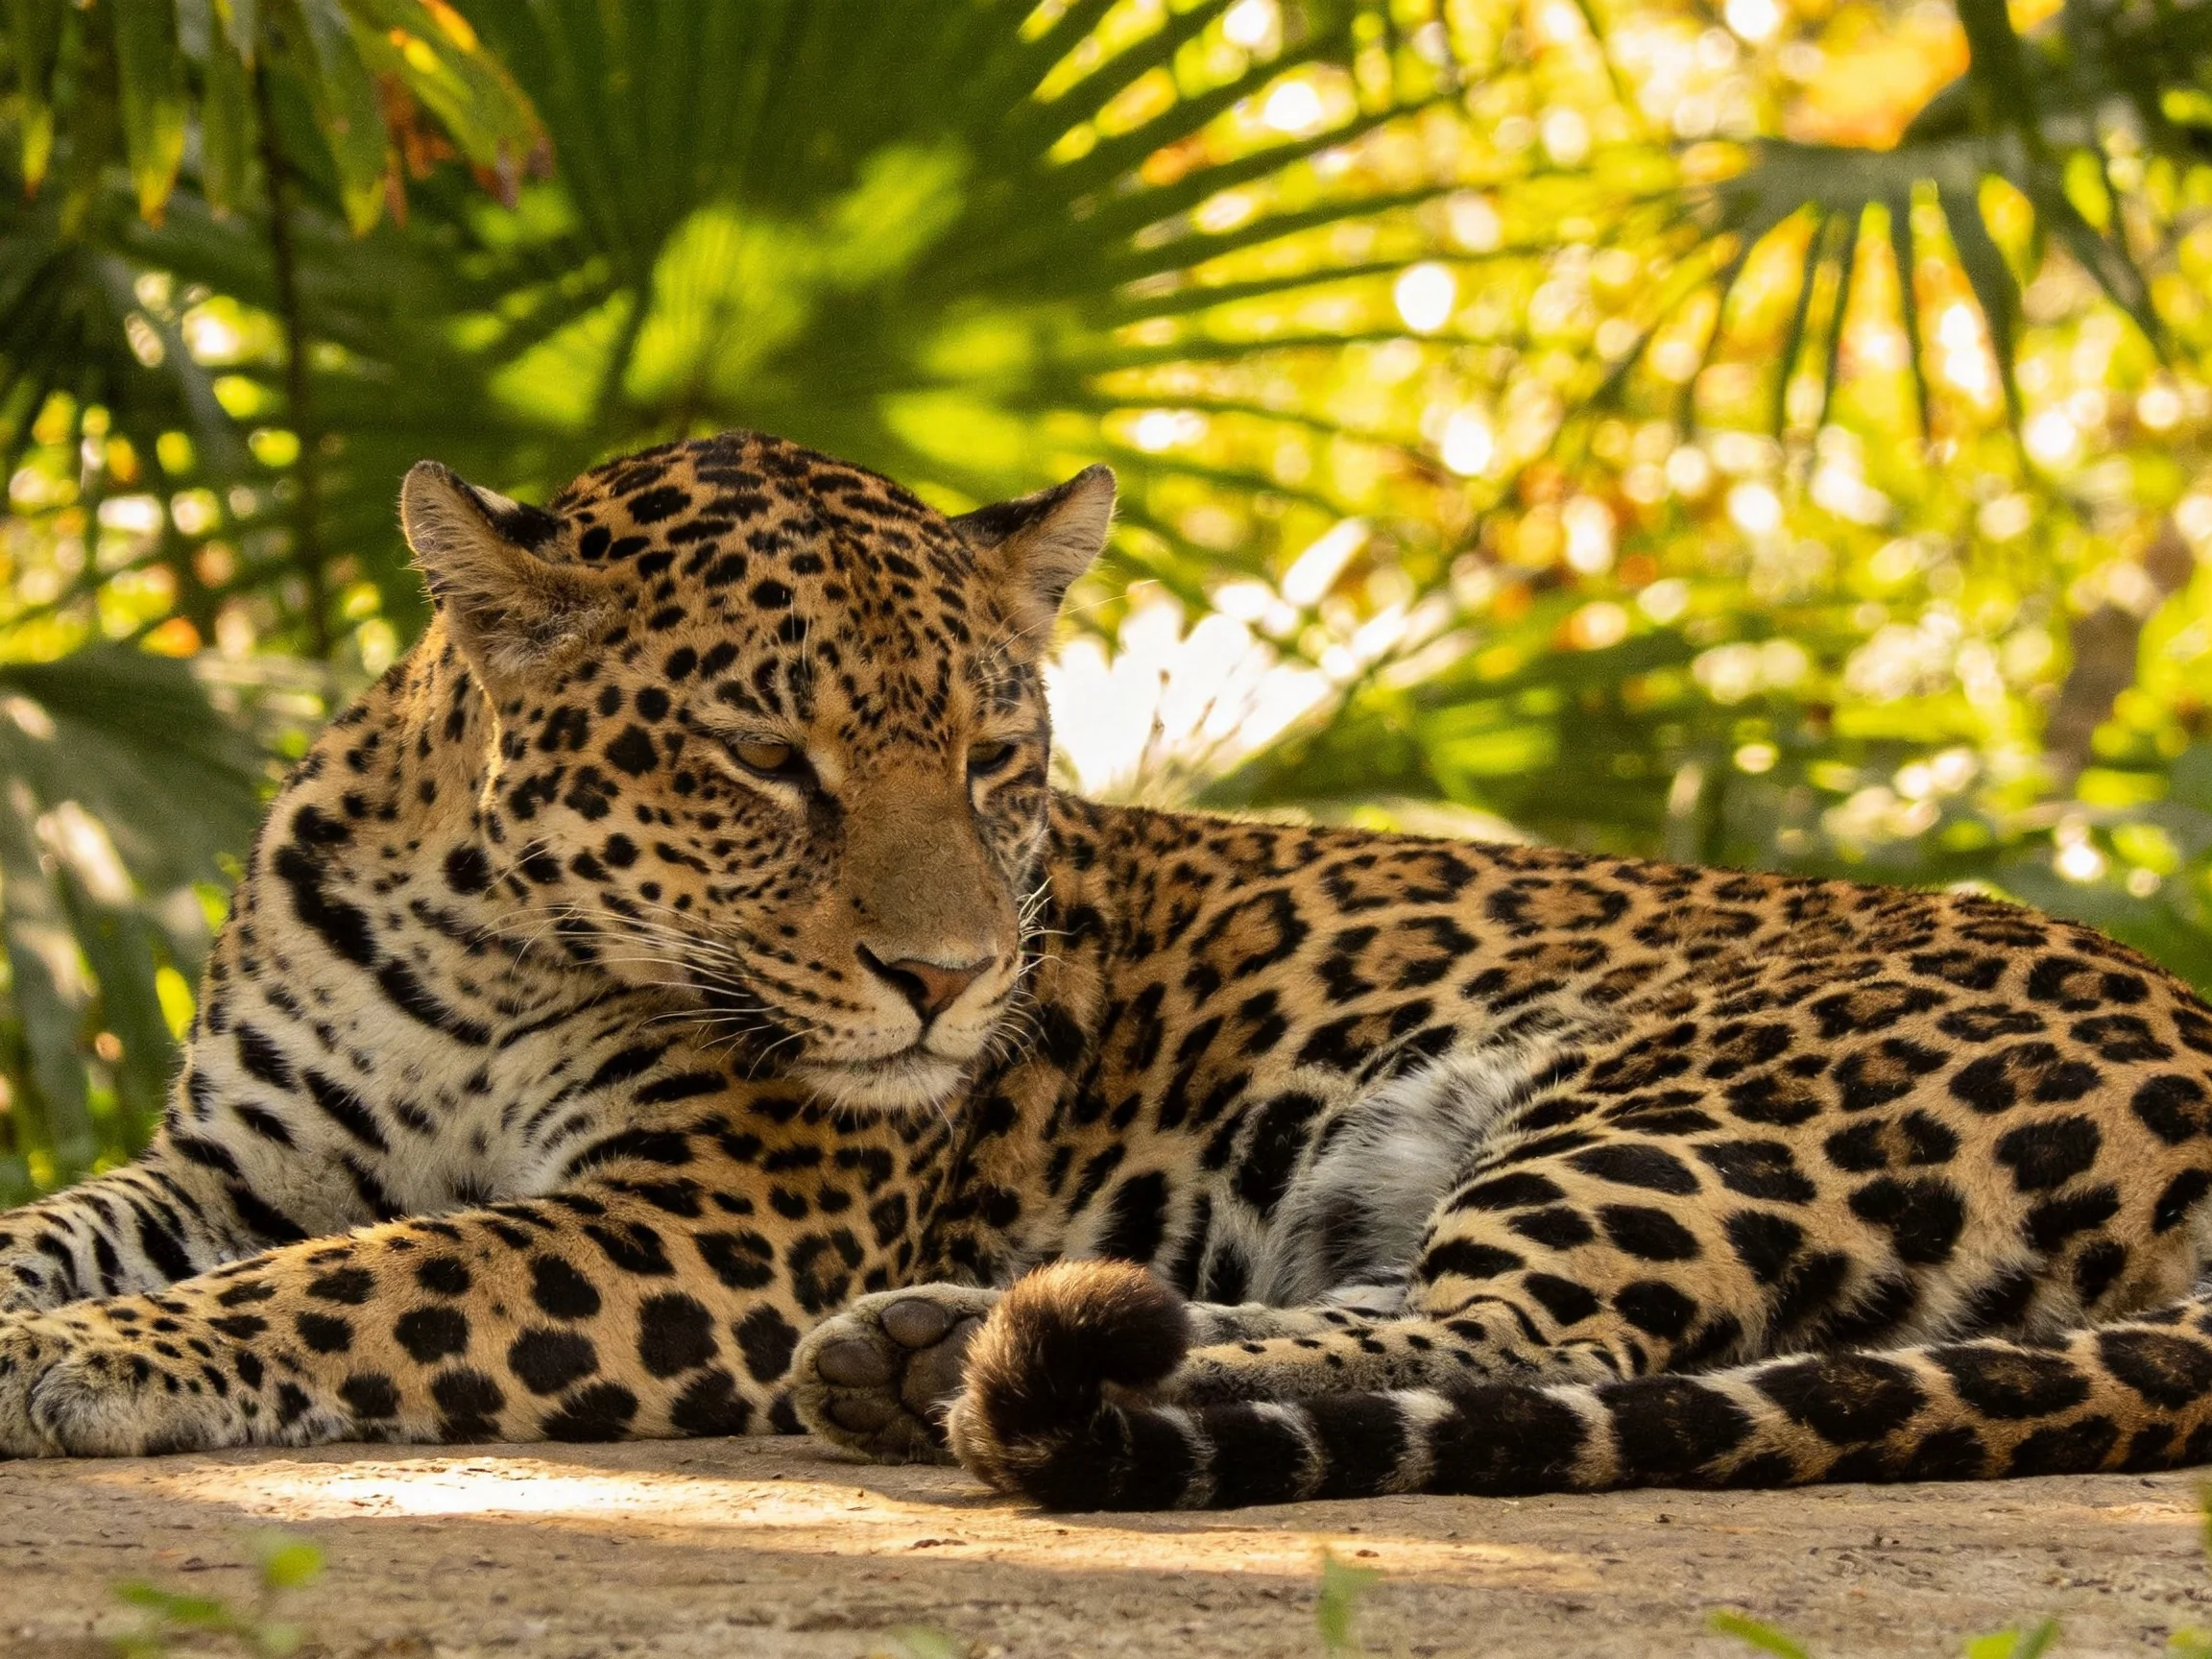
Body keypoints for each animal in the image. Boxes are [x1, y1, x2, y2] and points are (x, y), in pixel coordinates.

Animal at [4, 430, 2212, 1516]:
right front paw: (50, 1306)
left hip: (1691, 1098)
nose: (949, 986)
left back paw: (957, 1372)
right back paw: (921, 1352)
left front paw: (86, 1361)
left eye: (995, 758)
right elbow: (73, 1217)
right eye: (763, 756)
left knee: (1524, 1341)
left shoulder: (701, 1223)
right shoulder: (232, 1162)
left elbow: (361, 1276)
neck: (481, 929)